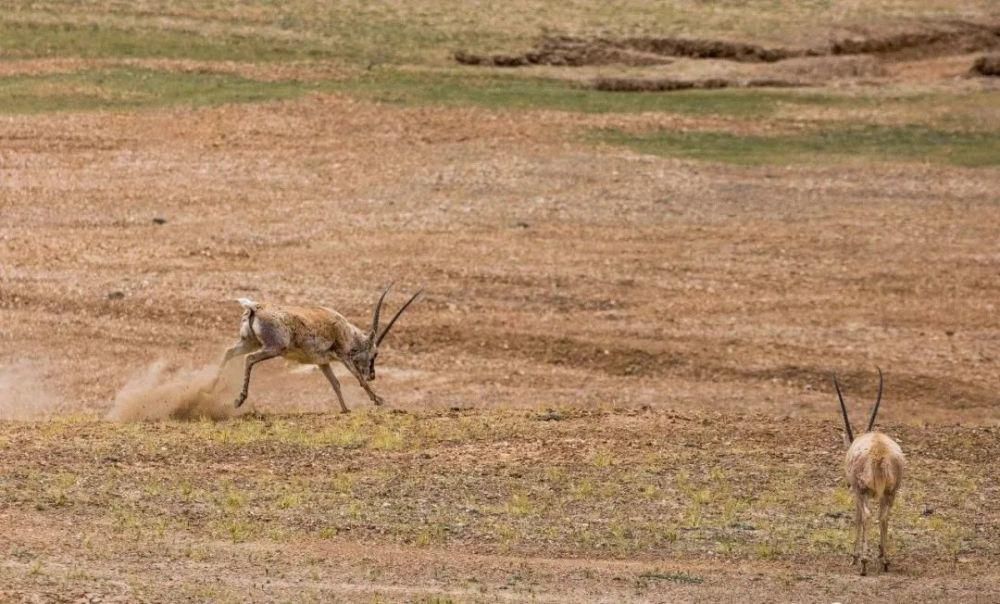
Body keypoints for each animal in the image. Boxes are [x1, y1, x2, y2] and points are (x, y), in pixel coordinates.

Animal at [215, 284, 422, 410]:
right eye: (375, 353)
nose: (372, 375)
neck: (346, 330)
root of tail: (255, 307)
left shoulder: (322, 363)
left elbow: (335, 383)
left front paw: (345, 410)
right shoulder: (343, 355)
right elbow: (357, 378)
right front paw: (379, 400)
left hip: (249, 342)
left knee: (228, 352)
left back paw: (212, 386)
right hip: (273, 348)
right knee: (249, 359)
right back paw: (238, 400)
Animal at [832, 368, 904, 576]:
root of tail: (879, 453)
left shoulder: (857, 492)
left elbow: (857, 518)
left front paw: (854, 558)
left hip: (862, 491)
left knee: (866, 515)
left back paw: (863, 562)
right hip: (891, 492)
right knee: (884, 516)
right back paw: (885, 560)